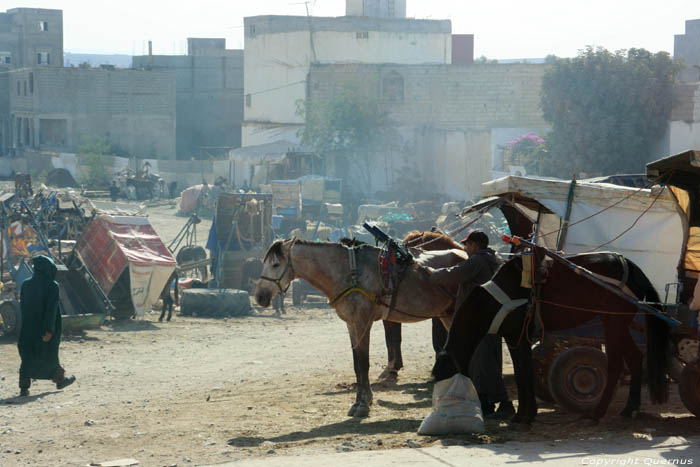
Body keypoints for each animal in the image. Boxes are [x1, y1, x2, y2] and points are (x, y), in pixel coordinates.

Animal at [254, 239, 456, 418]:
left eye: (276, 264)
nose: (259, 297)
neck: (350, 273)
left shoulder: (362, 322)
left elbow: (363, 363)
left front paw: (364, 404)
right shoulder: (351, 325)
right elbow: (357, 365)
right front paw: (359, 402)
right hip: (446, 315)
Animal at [434, 247, 668, 430]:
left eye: (443, 374)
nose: (440, 406)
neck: (497, 298)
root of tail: (628, 264)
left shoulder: (522, 337)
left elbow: (524, 374)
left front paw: (526, 416)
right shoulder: (513, 338)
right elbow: (521, 373)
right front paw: (522, 415)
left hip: (613, 323)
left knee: (615, 365)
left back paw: (596, 414)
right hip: (618, 324)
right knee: (636, 358)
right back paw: (630, 409)